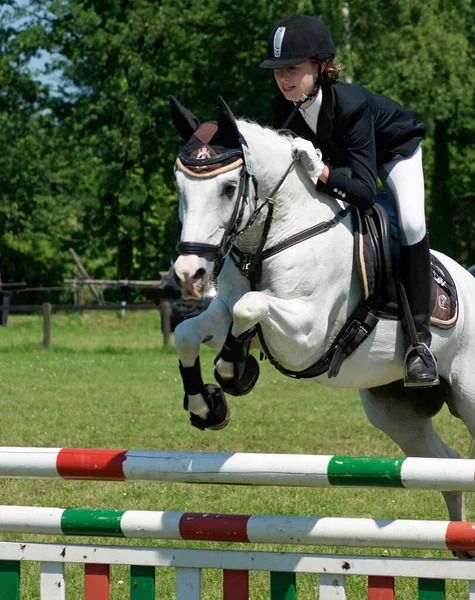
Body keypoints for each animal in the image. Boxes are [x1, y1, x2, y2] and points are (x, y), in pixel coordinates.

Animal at [170, 96, 475, 528]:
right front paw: (207, 404)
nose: (189, 274)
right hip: (394, 411)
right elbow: (189, 333)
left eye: (229, 188)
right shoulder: (224, 312)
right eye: (179, 186)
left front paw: (233, 373)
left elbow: (252, 306)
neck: (277, 234)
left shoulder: (307, 335)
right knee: (445, 465)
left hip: (468, 393)